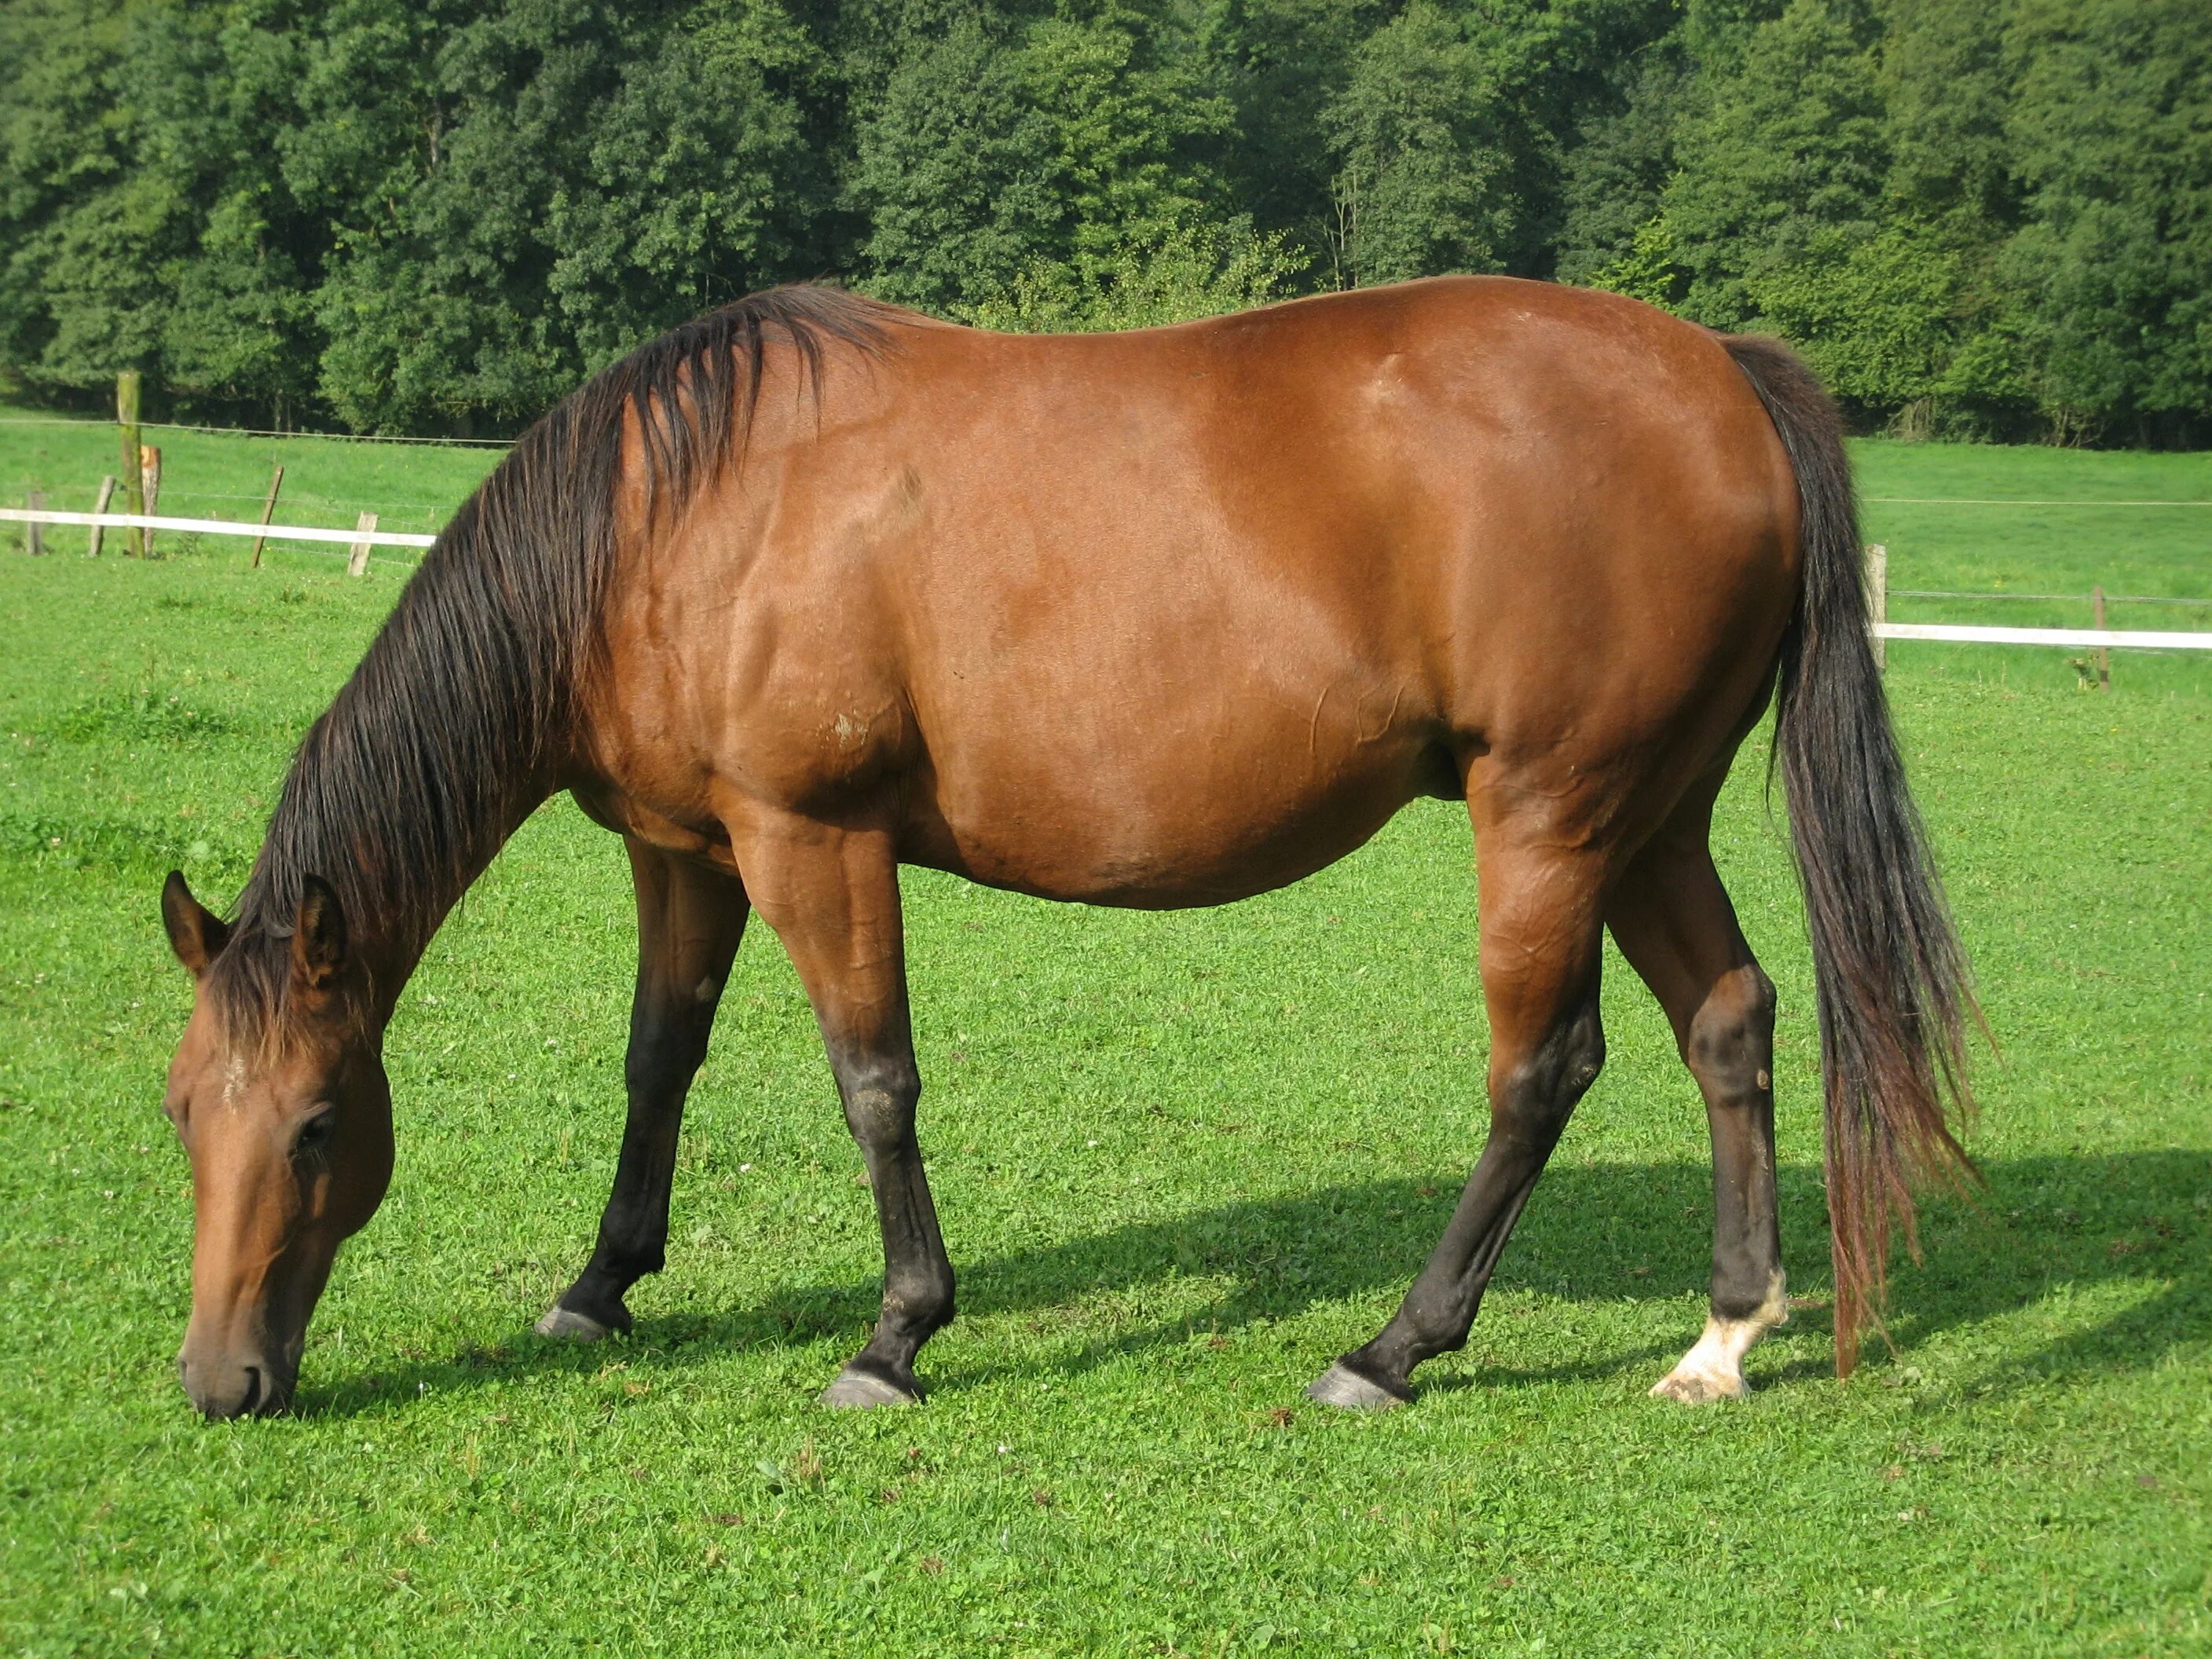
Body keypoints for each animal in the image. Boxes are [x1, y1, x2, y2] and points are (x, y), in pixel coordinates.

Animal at [163, 280, 1982, 1424]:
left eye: (317, 1126)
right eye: (186, 1112)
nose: (220, 1382)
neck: (675, 516)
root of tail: (1717, 370)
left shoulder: (810, 839)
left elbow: (873, 1083)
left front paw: (897, 1335)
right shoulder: (686, 851)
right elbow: (657, 1058)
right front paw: (601, 1284)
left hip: (1548, 817)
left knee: (1545, 1069)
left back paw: (1394, 1347)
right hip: (1647, 817)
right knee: (1728, 1020)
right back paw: (1723, 1333)